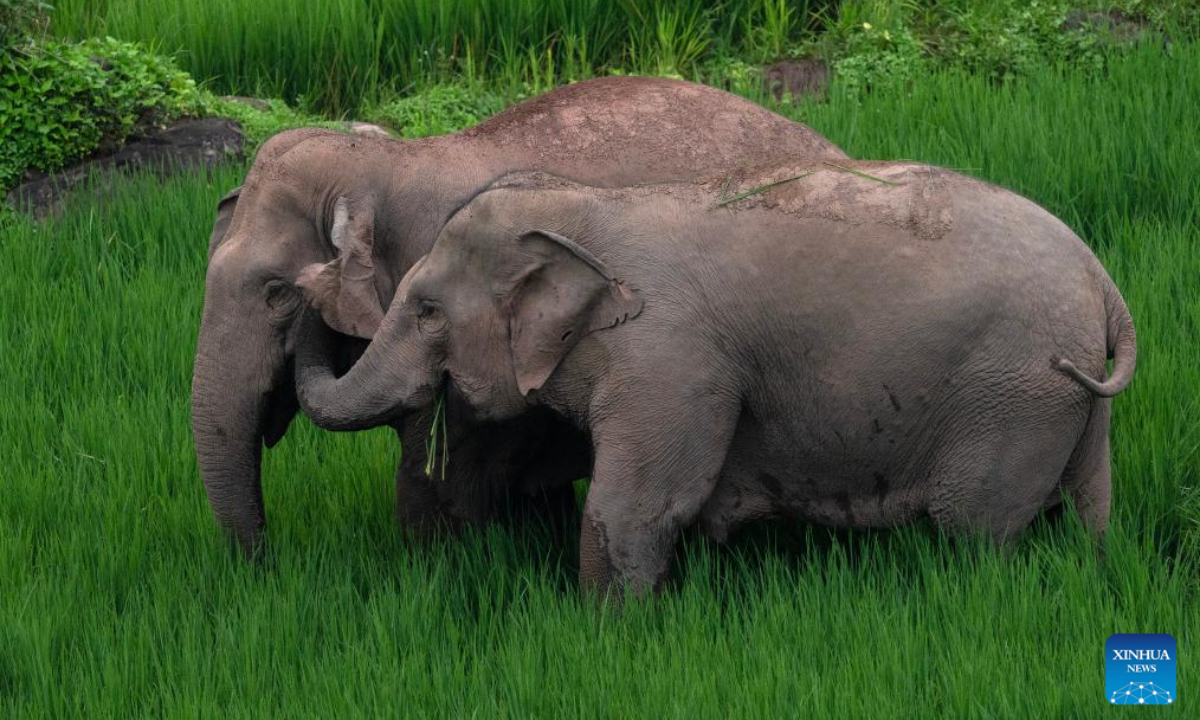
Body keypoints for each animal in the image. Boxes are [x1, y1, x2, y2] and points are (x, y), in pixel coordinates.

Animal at [292, 160, 1136, 596]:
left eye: (429, 310)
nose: (303, 282)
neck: (589, 207)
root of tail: (1105, 286)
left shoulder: (670, 358)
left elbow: (634, 508)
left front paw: (606, 635)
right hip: (1065, 400)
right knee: (1087, 511)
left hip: (1013, 393)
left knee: (976, 533)